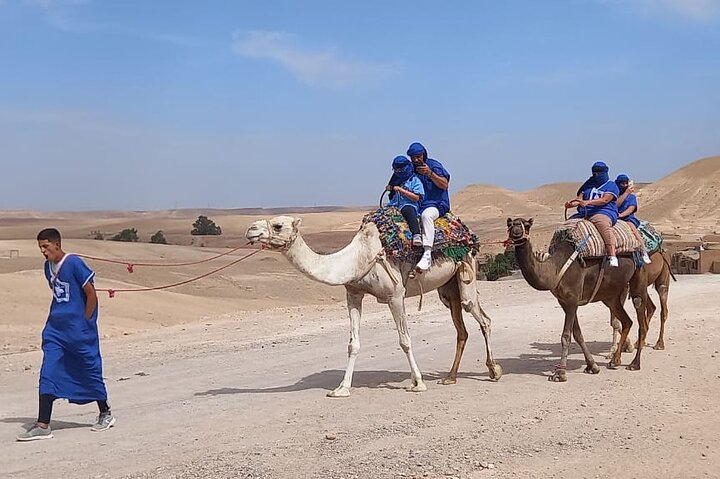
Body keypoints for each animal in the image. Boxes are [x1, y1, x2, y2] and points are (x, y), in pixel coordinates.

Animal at [245, 215, 502, 397]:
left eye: (278, 225)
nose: (251, 229)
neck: (356, 258)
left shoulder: (395, 295)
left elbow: (405, 340)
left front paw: (418, 383)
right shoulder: (353, 294)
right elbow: (353, 344)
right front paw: (342, 388)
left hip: (467, 269)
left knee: (482, 316)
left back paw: (494, 370)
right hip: (448, 288)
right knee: (462, 328)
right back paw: (450, 377)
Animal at [506, 217, 649, 382]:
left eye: (527, 225)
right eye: (510, 224)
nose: (516, 230)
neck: (555, 268)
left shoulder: (572, 300)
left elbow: (566, 336)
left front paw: (560, 373)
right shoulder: (564, 302)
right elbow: (577, 334)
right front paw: (592, 366)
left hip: (639, 275)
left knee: (641, 317)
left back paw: (634, 363)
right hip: (610, 295)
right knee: (626, 321)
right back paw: (615, 360)